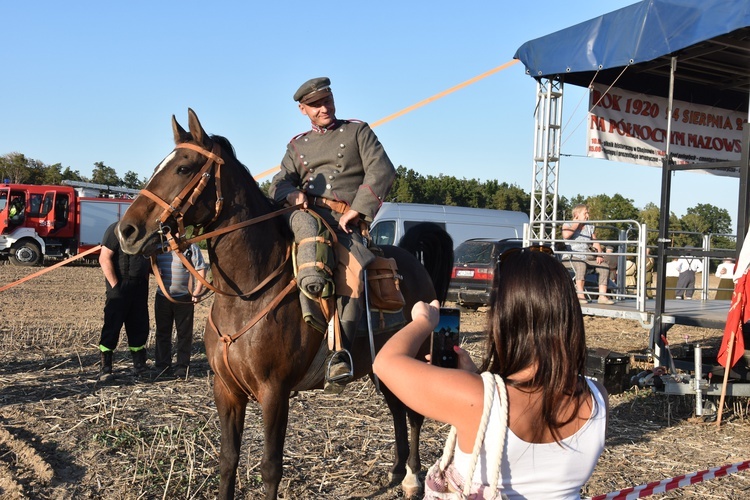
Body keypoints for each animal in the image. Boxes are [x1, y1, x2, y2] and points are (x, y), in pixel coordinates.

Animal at [117, 110, 452, 500]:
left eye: (184, 168)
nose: (127, 230)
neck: (246, 295)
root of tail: (413, 262)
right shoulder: (226, 390)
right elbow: (228, 460)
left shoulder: (274, 393)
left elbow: (270, 467)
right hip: (382, 366)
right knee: (397, 411)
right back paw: (397, 471)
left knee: (413, 414)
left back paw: (412, 477)